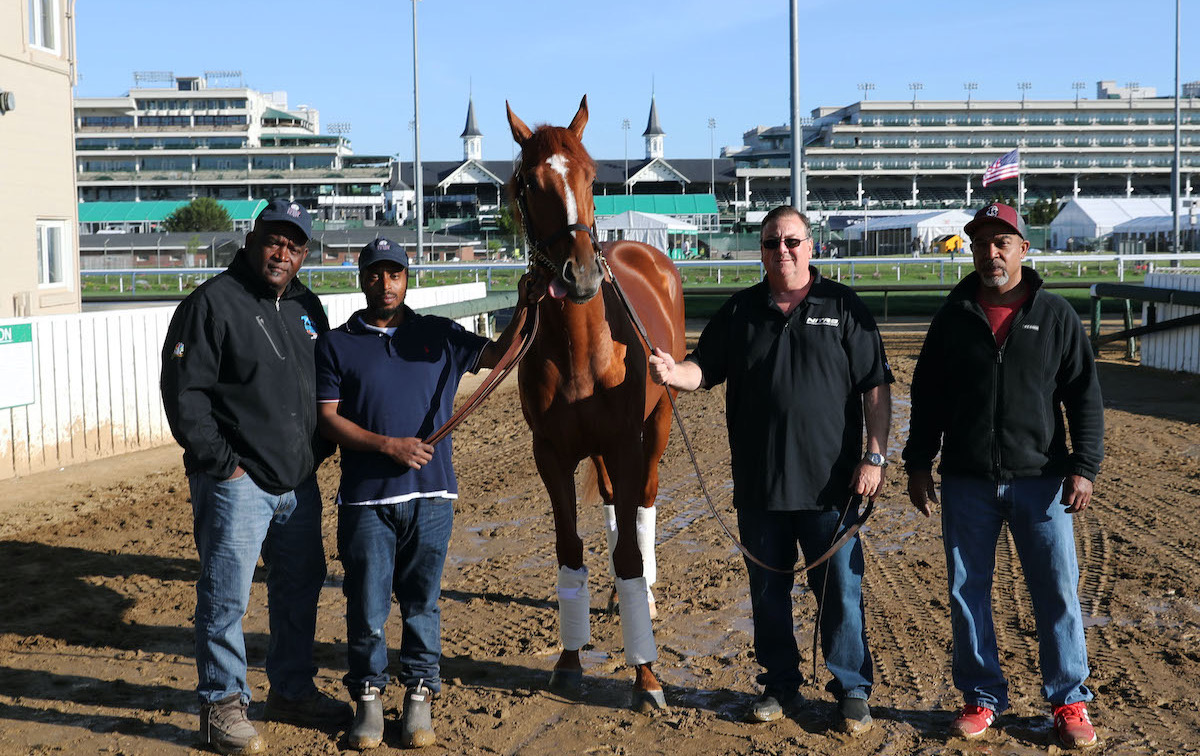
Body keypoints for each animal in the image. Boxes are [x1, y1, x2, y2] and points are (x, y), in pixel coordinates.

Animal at [506, 96, 686, 710]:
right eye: (529, 181)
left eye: (588, 176)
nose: (580, 273)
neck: (585, 351)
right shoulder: (551, 453)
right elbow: (569, 548)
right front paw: (567, 662)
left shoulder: (627, 441)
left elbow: (631, 549)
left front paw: (646, 676)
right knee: (612, 501)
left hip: (658, 423)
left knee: (645, 501)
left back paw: (647, 594)